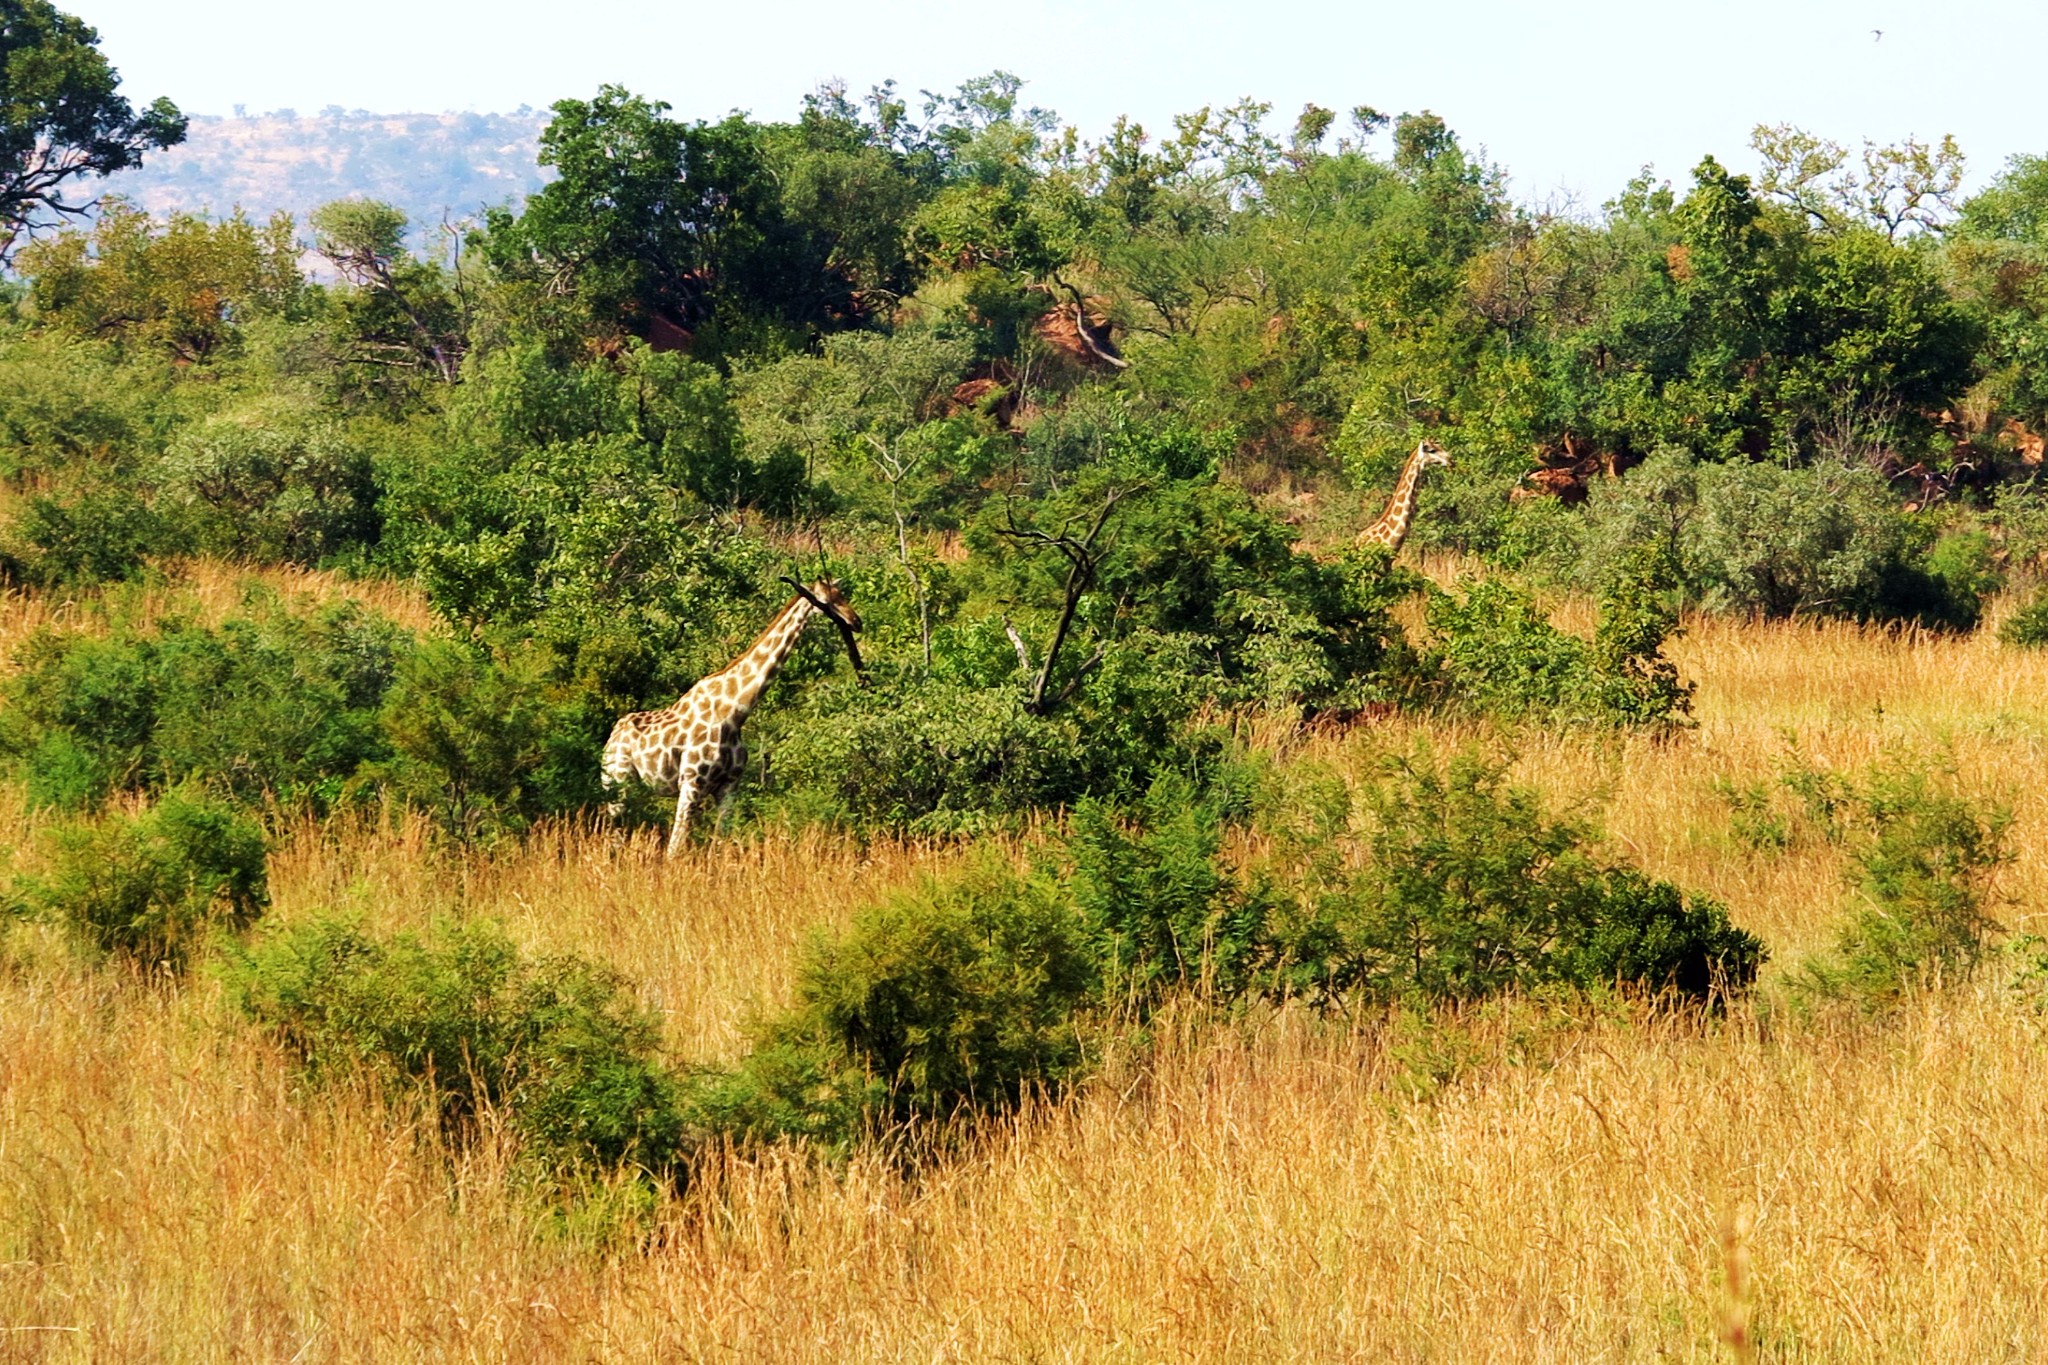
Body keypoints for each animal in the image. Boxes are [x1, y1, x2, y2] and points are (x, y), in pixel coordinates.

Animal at [598, 581, 860, 855]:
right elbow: (675, 847)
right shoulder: (691, 782)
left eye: (842, 595)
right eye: (827, 601)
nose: (856, 621)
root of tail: (611, 737)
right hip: (617, 781)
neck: (734, 712)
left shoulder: (729, 786)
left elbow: (721, 841)